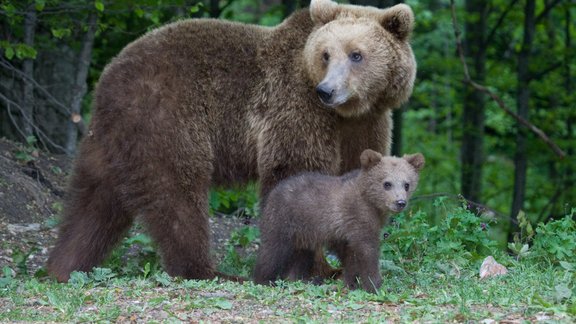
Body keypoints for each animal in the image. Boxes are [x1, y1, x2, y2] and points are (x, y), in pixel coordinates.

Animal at [45, 0, 414, 282]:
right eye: (325, 54)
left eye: (356, 54)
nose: (327, 90)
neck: (347, 112)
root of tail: (109, 76)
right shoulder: (295, 108)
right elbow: (295, 176)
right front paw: (315, 268)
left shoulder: (365, 124)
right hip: (168, 117)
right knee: (177, 195)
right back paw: (207, 270)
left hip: (109, 140)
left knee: (92, 202)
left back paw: (62, 266)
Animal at [252, 151, 424, 292]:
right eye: (387, 183)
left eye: (407, 184)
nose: (400, 202)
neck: (371, 203)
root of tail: (274, 191)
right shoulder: (358, 218)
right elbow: (367, 251)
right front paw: (375, 285)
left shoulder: (349, 231)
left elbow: (351, 257)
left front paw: (350, 282)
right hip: (283, 221)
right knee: (272, 252)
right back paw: (264, 280)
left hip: (305, 233)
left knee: (302, 256)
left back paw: (301, 279)